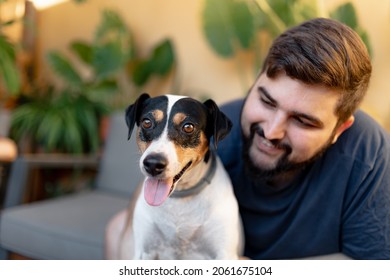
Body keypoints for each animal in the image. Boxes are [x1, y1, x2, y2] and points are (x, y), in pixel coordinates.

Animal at [117, 93, 242, 260]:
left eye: (188, 127)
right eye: (147, 122)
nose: (153, 164)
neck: (181, 196)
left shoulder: (224, 254)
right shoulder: (144, 252)